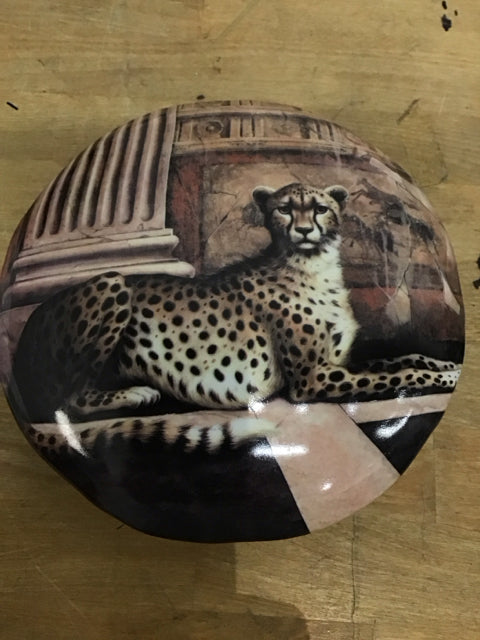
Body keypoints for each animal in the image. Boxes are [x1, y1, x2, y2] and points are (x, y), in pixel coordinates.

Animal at [11, 182, 461, 454]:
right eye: (284, 209)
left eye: (320, 208)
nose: (303, 230)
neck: (312, 265)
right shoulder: (311, 379)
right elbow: (401, 373)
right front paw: (441, 378)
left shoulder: (339, 362)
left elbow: (406, 359)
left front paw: (450, 368)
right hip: (112, 282)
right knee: (68, 400)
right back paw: (137, 394)